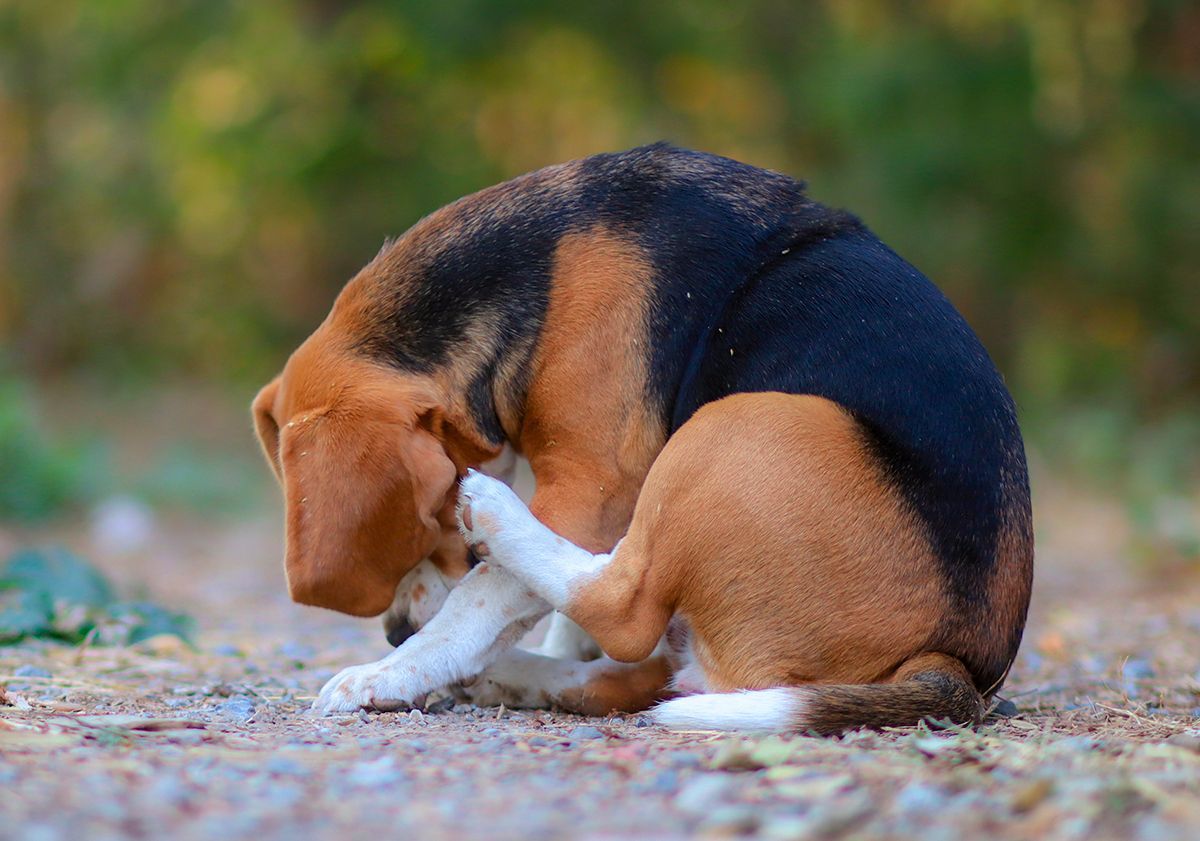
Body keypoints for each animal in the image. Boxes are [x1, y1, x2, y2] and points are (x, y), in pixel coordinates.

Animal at [253, 142, 1032, 729]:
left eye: (429, 513)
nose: (394, 632)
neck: (543, 258)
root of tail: (960, 665)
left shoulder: (593, 487)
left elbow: (480, 597)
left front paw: (392, 672)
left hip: (741, 423)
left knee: (621, 608)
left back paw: (496, 538)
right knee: (634, 669)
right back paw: (510, 674)